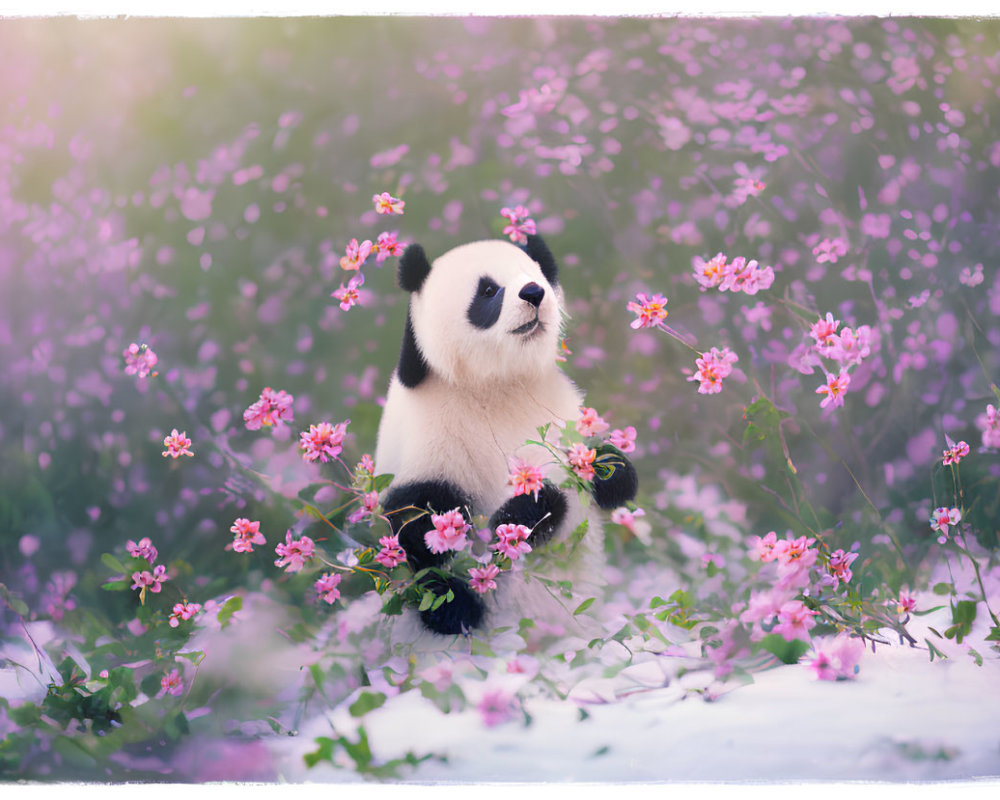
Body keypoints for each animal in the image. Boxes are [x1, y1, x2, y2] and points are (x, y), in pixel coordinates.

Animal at [372, 233, 636, 636]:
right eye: (489, 290)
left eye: (535, 276)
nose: (534, 293)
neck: (497, 382)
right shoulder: (430, 428)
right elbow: (418, 521)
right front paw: (532, 508)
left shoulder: (557, 411)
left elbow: (611, 478)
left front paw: (602, 472)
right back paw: (455, 610)